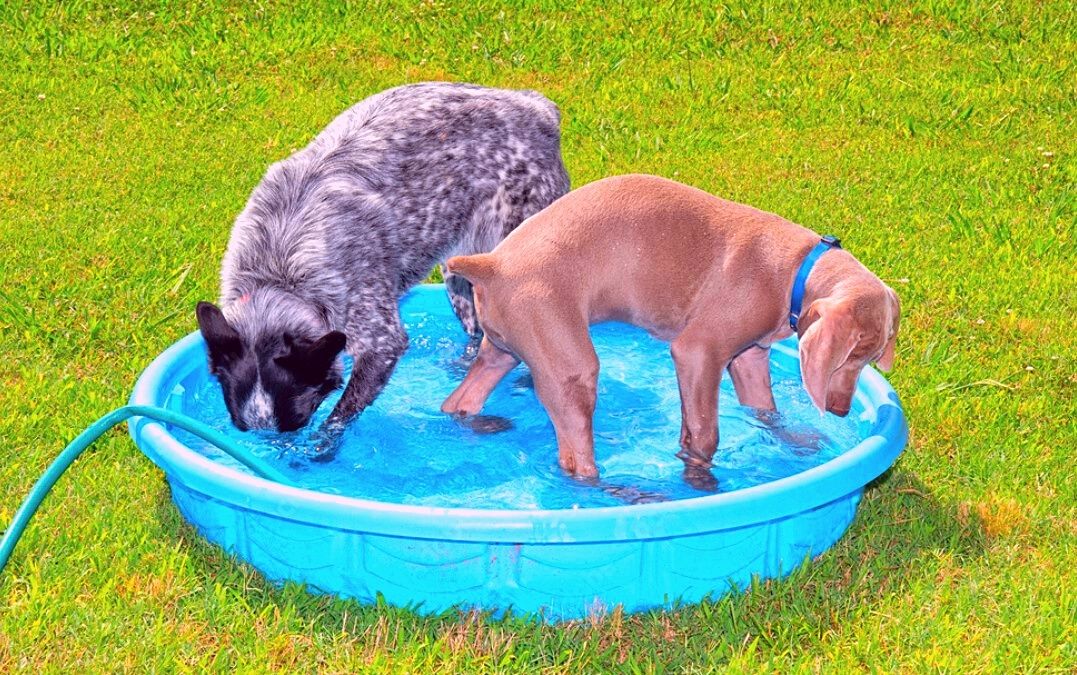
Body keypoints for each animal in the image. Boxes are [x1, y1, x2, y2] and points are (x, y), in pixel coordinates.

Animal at [194, 83, 572, 432]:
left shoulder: (381, 343)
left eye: (298, 423)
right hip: (461, 278)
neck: (280, 273)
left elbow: (336, 422)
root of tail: (539, 108)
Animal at [437, 174, 900, 486]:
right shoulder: (698, 351)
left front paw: (797, 442)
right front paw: (701, 481)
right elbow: (707, 435)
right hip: (570, 369)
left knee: (460, 402)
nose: (840, 411)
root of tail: (492, 264)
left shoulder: (748, 359)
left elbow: (764, 412)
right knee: (575, 462)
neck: (795, 269)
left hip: (504, 349)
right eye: (851, 357)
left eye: (870, 359)